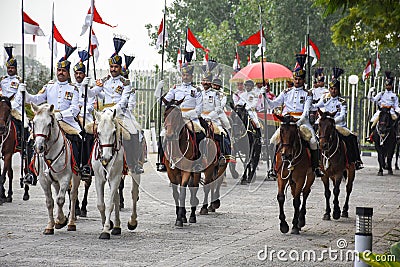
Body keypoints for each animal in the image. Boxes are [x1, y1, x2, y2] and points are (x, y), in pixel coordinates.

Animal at [31, 103, 79, 236]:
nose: (39, 147)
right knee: (58, 192)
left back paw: (71, 223)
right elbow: (50, 202)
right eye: (34, 122)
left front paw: (62, 221)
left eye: (49, 124)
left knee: (73, 195)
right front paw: (50, 225)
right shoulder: (44, 180)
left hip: (76, 177)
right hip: (55, 180)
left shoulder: (65, 178)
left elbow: (60, 200)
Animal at [92, 109, 125, 241]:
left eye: (114, 132)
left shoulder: (115, 178)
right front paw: (106, 224)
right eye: (98, 132)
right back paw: (116, 226)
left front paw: (106, 230)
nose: (106, 157)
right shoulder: (99, 179)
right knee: (116, 197)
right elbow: (101, 205)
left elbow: (110, 204)